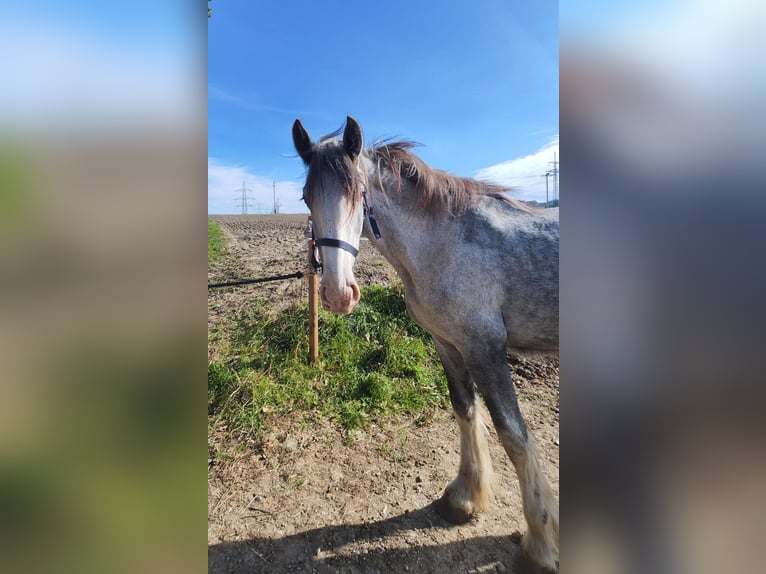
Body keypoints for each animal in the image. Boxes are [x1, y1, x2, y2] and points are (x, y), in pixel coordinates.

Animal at [293, 116, 559, 571]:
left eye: (358, 192)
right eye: (307, 197)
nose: (337, 294)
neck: (443, 242)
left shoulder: (486, 351)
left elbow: (515, 437)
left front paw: (541, 546)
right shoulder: (448, 345)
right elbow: (465, 412)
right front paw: (464, 498)